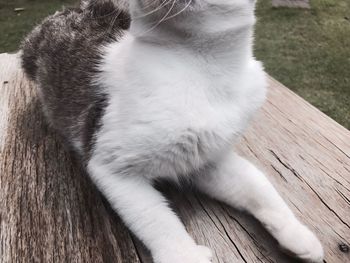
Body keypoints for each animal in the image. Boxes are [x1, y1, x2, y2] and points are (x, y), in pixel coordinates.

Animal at [21, 0, 322, 263]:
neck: (203, 68)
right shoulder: (111, 165)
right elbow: (155, 217)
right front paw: (184, 254)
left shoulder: (208, 158)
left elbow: (257, 184)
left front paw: (297, 233)